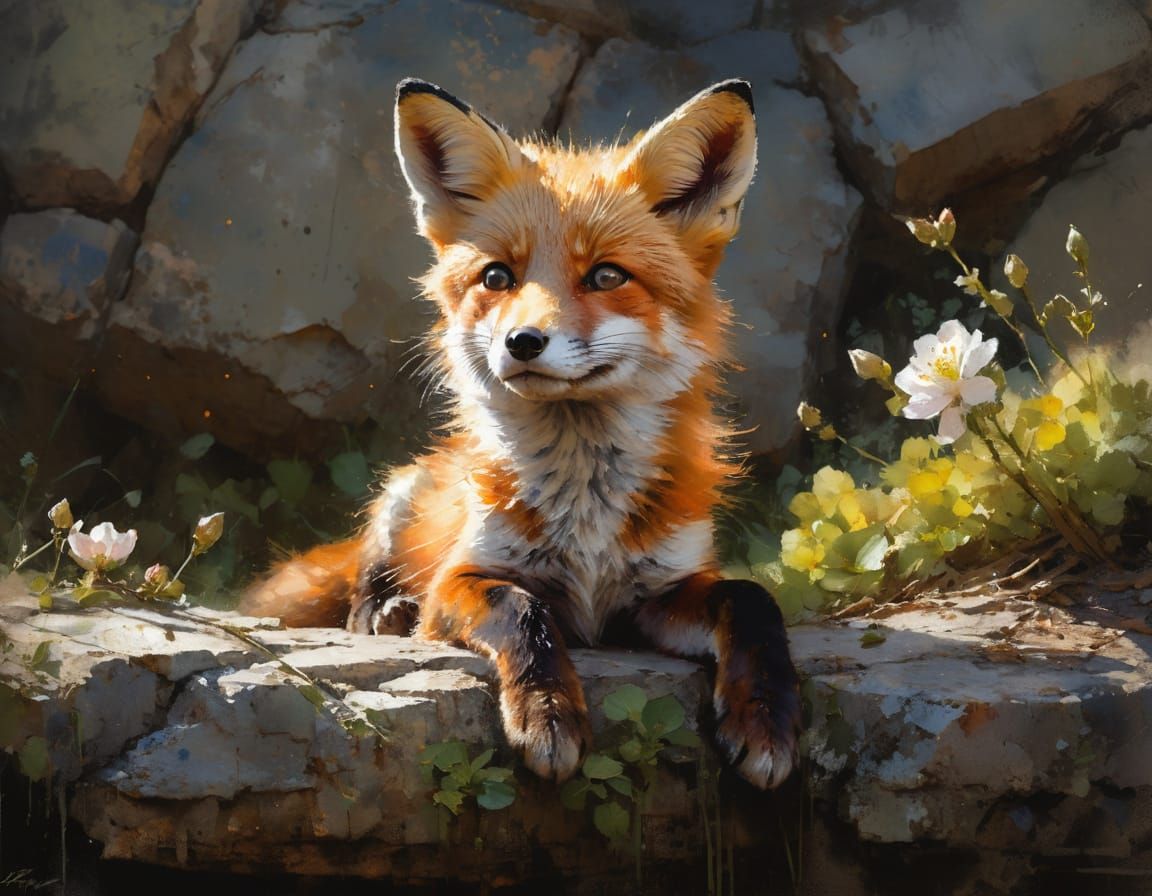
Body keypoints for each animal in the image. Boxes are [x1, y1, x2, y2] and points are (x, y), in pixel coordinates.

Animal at [243, 77, 802, 789]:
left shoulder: (659, 591)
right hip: (401, 494)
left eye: (607, 275)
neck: (586, 505)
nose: (523, 341)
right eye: (497, 277)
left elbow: (754, 601)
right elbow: (522, 610)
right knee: (364, 584)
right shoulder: (465, 576)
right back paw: (385, 613)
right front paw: (547, 715)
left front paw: (764, 718)